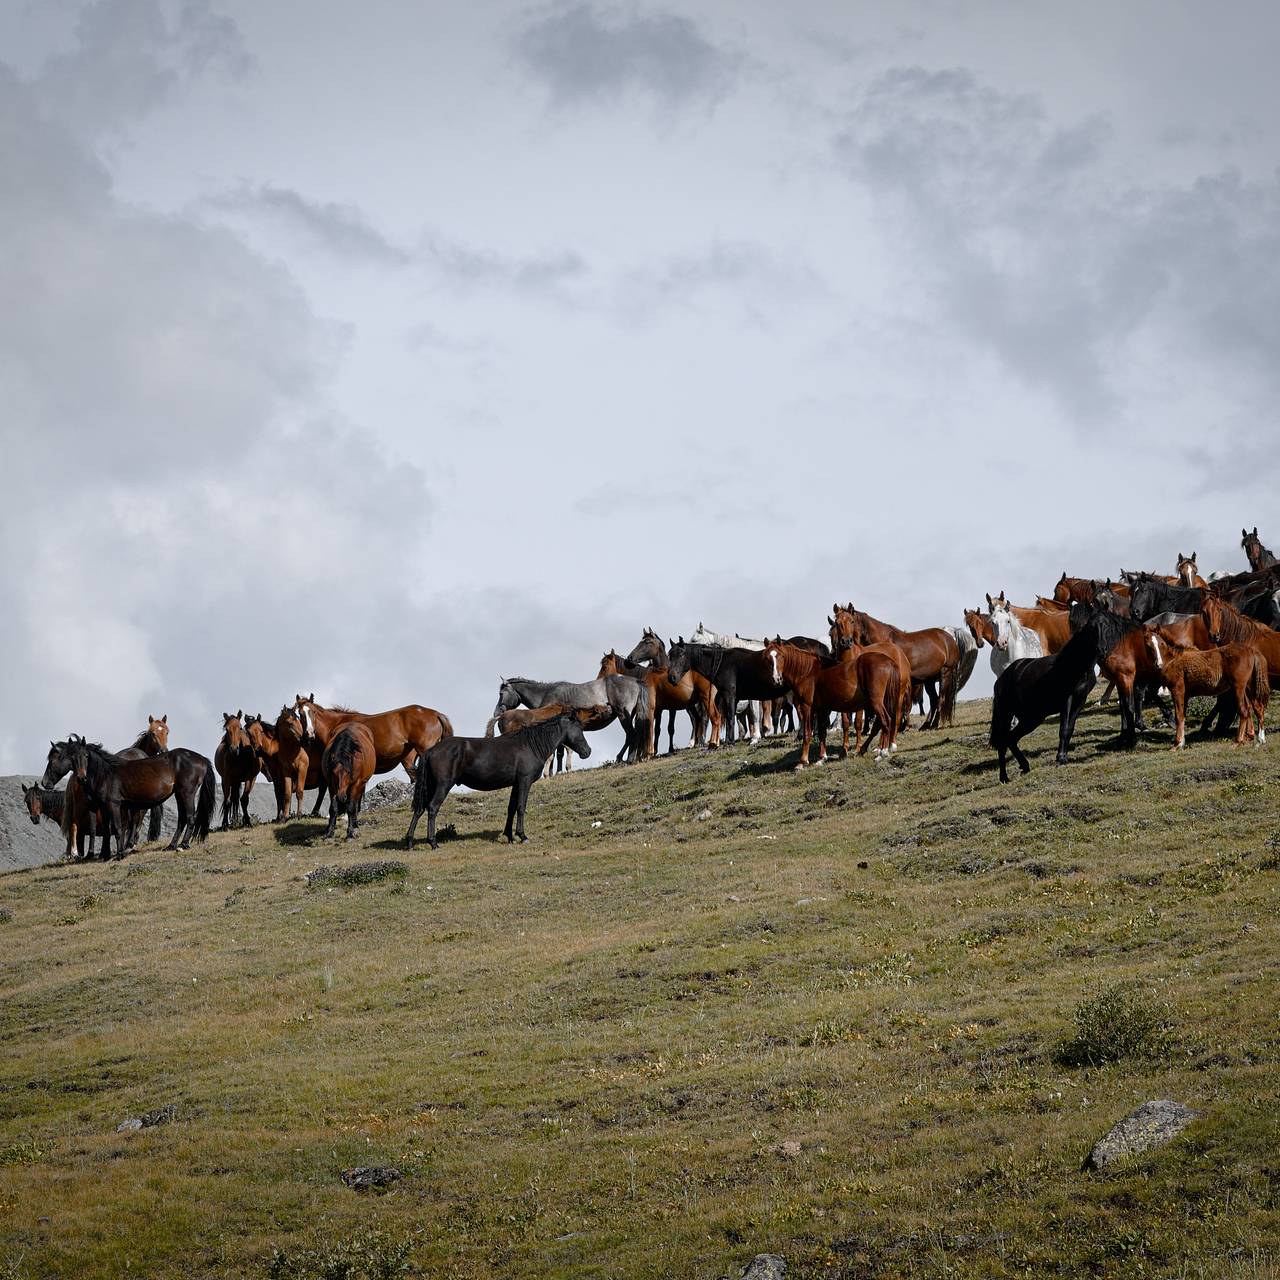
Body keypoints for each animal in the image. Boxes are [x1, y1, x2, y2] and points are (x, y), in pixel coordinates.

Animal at [43, 737, 215, 855]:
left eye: (86, 755)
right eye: (72, 757)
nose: (81, 778)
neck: (106, 774)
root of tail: (201, 759)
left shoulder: (114, 805)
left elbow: (118, 828)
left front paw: (119, 854)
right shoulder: (104, 807)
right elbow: (107, 830)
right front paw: (105, 854)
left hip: (187, 793)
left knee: (190, 817)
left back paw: (183, 845)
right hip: (179, 794)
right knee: (182, 819)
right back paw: (171, 845)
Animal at [404, 711, 588, 849]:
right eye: (578, 728)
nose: (587, 751)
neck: (530, 745)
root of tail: (431, 751)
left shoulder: (516, 784)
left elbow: (511, 808)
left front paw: (510, 836)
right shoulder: (524, 781)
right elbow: (521, 807)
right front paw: (522, 836)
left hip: (431, 785)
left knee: (419, 809)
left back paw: (410, 841)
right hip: (443, 785)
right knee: (432, 808)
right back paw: (433, 842)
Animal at [488, 675, 650, 762]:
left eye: (501, 693)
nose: (496, 712)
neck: (546, 694)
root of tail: (635, 681)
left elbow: (558, 753)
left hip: (623, 715)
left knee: (632, 735)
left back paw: (626, 758)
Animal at [824, 601, 957, 727]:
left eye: (851, 621)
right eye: (834, 627)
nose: (844, 643)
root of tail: (948, 638)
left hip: (945, 672)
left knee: (941, 699)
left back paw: (934, 724)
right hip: (929, 680)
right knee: (934, 700)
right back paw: (926, 725)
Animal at [983, 606, 1126, 778]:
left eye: (1108, 627)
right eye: (1091, 628)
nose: (1102, 651)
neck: (1075, 664)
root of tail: (1001, 680)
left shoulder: (1080, 700)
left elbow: (1069, 728)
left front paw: (1063, 756)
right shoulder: (1066, 698)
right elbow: (1063, 728)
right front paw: (1061, 758)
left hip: (1032, 717)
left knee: (1011, 738)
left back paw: (1025, 766)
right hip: (1007, 714)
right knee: (1003, 741)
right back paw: (1004, 777)